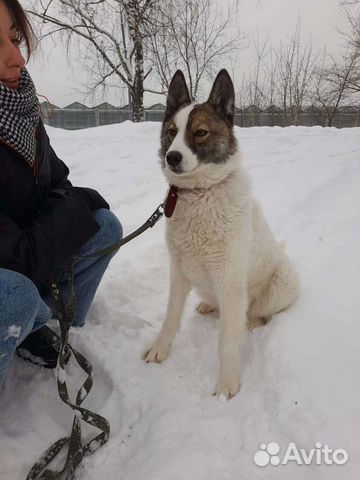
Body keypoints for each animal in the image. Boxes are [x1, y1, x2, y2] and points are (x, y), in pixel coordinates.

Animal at [142, 69, 300, 400]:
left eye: (199, 132)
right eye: (171, 131)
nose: (172, 157)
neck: (200, 194)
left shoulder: (229, 280)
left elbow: (227, 341)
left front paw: (227, 383)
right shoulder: (179, 273)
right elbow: (169, 318)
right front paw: (160, 349)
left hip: (276, 286)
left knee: (256, 312)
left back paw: (250, 322)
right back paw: (209, 305)